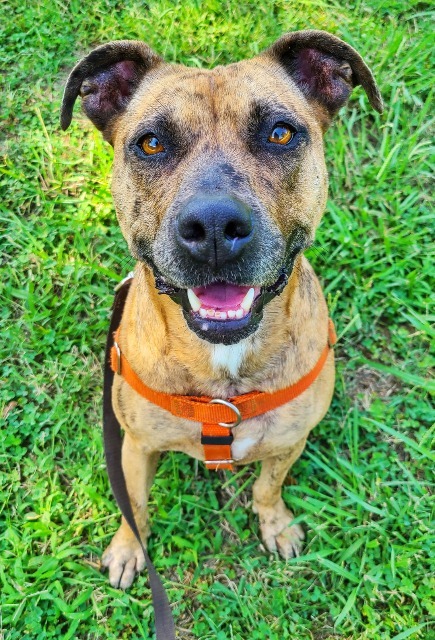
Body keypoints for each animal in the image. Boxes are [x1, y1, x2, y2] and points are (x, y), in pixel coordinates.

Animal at [60, 30, 382, 592]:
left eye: (280, 133)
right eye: (151, 143)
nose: (212, 226)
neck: (222, 370)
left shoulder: (289, 441)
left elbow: (267, 489)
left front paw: (276, 525)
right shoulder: (135, 446)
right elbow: (134, 505)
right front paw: (128, 549)